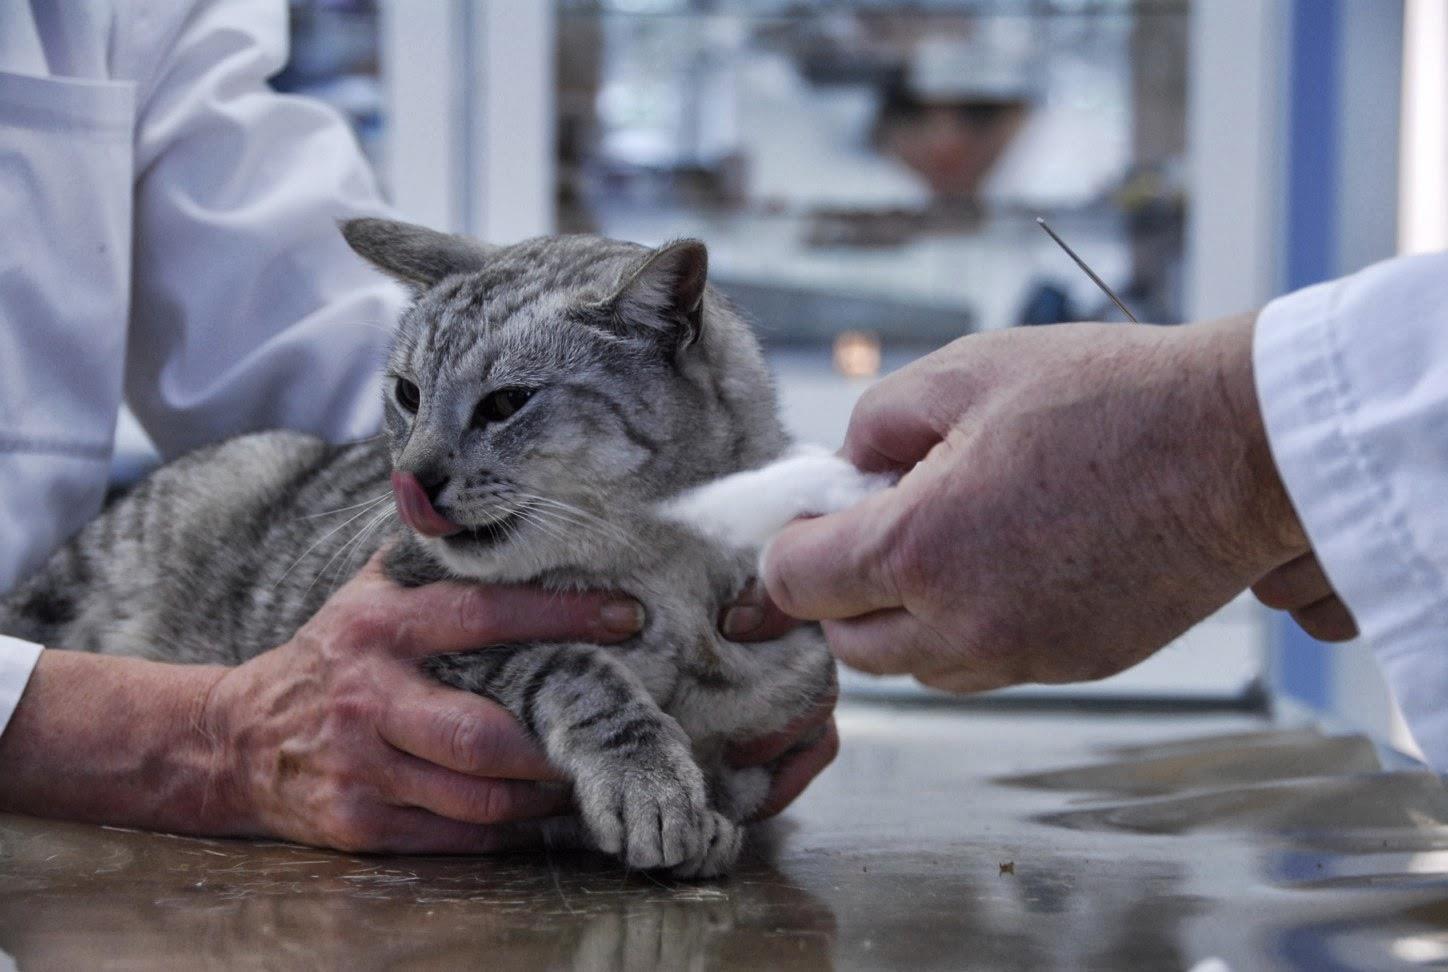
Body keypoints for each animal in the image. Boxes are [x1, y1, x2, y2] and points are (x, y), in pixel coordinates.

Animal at [0, 223, 839, 880]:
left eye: (507, 403)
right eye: (407, 393)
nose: (411, 476)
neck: (661, 578)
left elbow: (737, 767)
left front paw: (709, 816)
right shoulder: (441, 636)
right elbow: (576, 669)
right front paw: (653, 783)